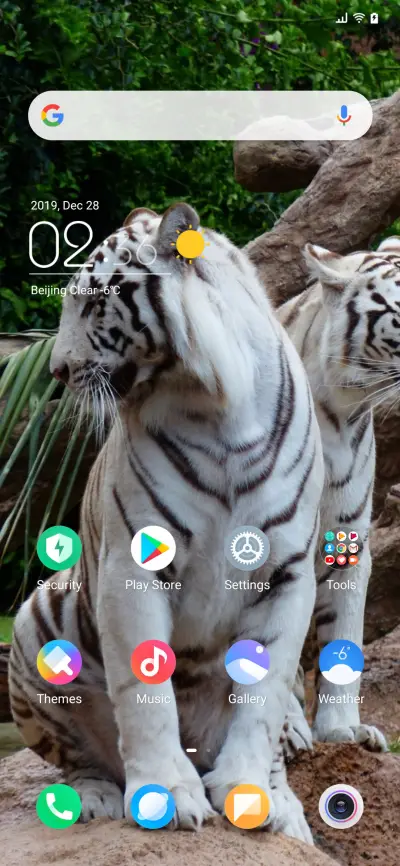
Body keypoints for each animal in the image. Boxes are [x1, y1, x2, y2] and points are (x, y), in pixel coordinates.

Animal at [9, 202, 324, 842]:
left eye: (94, 300)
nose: (55, 370)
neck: (217, 407)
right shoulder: (131, 562)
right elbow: (144, 692)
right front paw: (166, 794)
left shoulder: (289, 573)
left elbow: (265, 694)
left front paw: (250, 792)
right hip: (36, 622)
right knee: (78, 755)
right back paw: (96, 796)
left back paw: (286, 807)